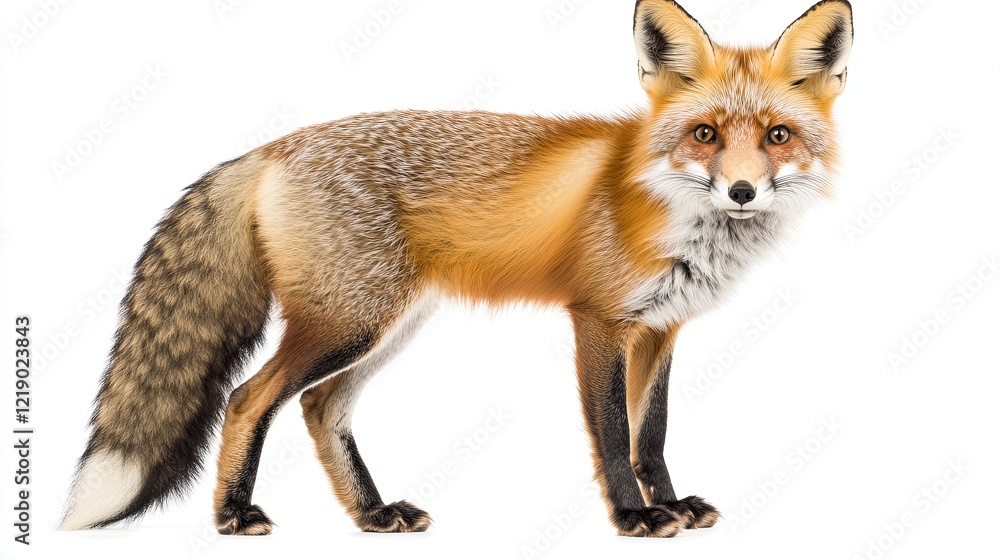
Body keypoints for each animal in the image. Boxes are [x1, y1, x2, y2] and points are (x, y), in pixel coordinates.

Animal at [60, 0, 852, 538]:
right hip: (349, 323)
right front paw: (634, 517)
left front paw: (670, 504)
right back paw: (234, 513)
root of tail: (273, 147)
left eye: (778, 136)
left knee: (320, 407)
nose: (742, 191)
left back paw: (373, 512)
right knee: (248, 399)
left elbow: (649, 434)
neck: (672, 213)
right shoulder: (597, 320)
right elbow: (611, 434)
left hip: (388, 326)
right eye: (706, 134)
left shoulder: (661, 329)